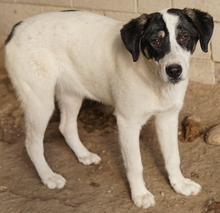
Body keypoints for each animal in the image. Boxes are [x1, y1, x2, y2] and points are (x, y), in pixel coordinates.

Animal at [4, 7, 214, 208]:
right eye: (155, 40)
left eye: (184, 36)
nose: (174, 71)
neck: (153, 79)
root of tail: (15, 29)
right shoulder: (127, 122)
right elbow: (135, 165)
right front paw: (140, 195)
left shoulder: (168, 117)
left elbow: (173, 157)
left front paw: (180, 184)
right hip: (40, 102)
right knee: (32, 143)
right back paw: (48, 176)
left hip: (71, 94)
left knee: (66, 127)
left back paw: (84, 155)